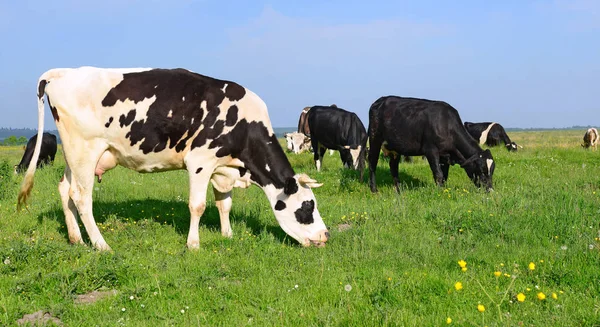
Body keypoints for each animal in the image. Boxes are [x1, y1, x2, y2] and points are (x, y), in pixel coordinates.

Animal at [18, 66, 330, 251]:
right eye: (307, 207)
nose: (326, 235)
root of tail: (61, 72)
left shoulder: (222, 168)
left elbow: (224, 204)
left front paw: (227, 234)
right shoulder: (200, 162)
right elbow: (197, 205)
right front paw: (194, 244)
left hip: (74, 154)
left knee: (64, 189)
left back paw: (76, 239)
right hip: (84, 150)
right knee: (82, 197)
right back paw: (101, 244)